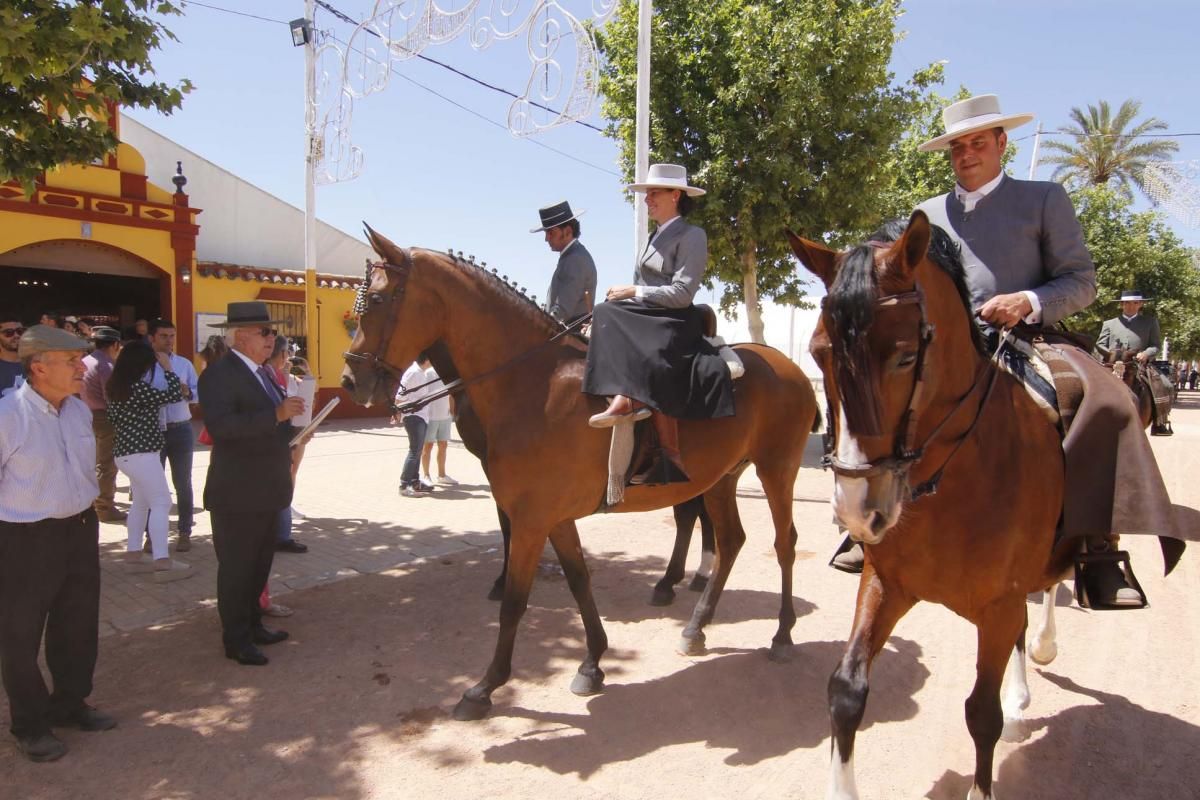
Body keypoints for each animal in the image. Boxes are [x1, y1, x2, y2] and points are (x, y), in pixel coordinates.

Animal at [787, 212, 1080, 800]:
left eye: (904, 355)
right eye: (817, 352)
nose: (857, 510)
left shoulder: (999, 604)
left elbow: (982, 715)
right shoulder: (887, 583)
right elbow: (847, 690)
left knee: (1050, 589)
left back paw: (1043, 650)